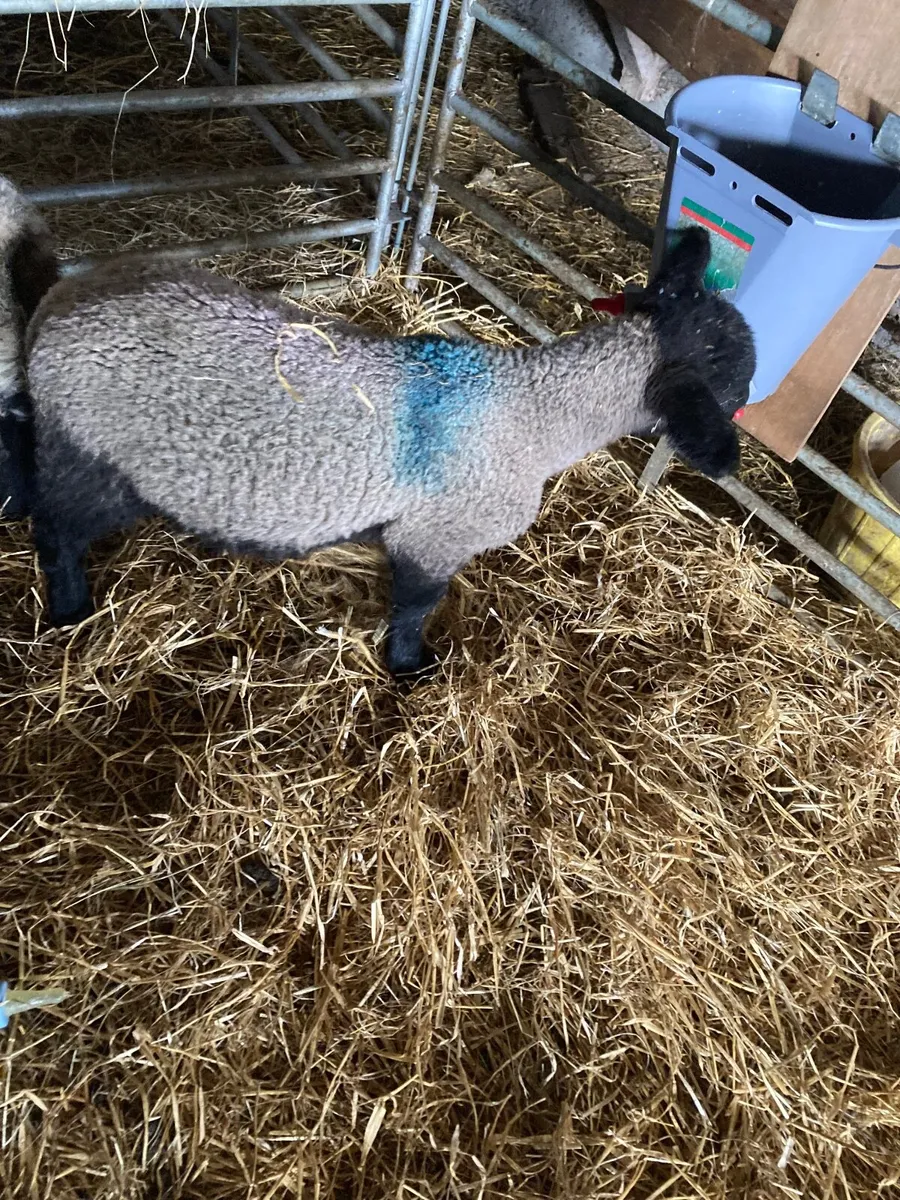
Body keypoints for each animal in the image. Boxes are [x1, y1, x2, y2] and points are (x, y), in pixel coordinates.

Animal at [22, 225, 754, 680]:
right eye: (733, 380)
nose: (749, 403)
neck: (533, 412)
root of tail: (53, 310)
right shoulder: (437, 534)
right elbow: (413, 606)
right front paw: (409, 668)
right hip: (95, 456)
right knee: (55, 528)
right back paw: (69, 609)